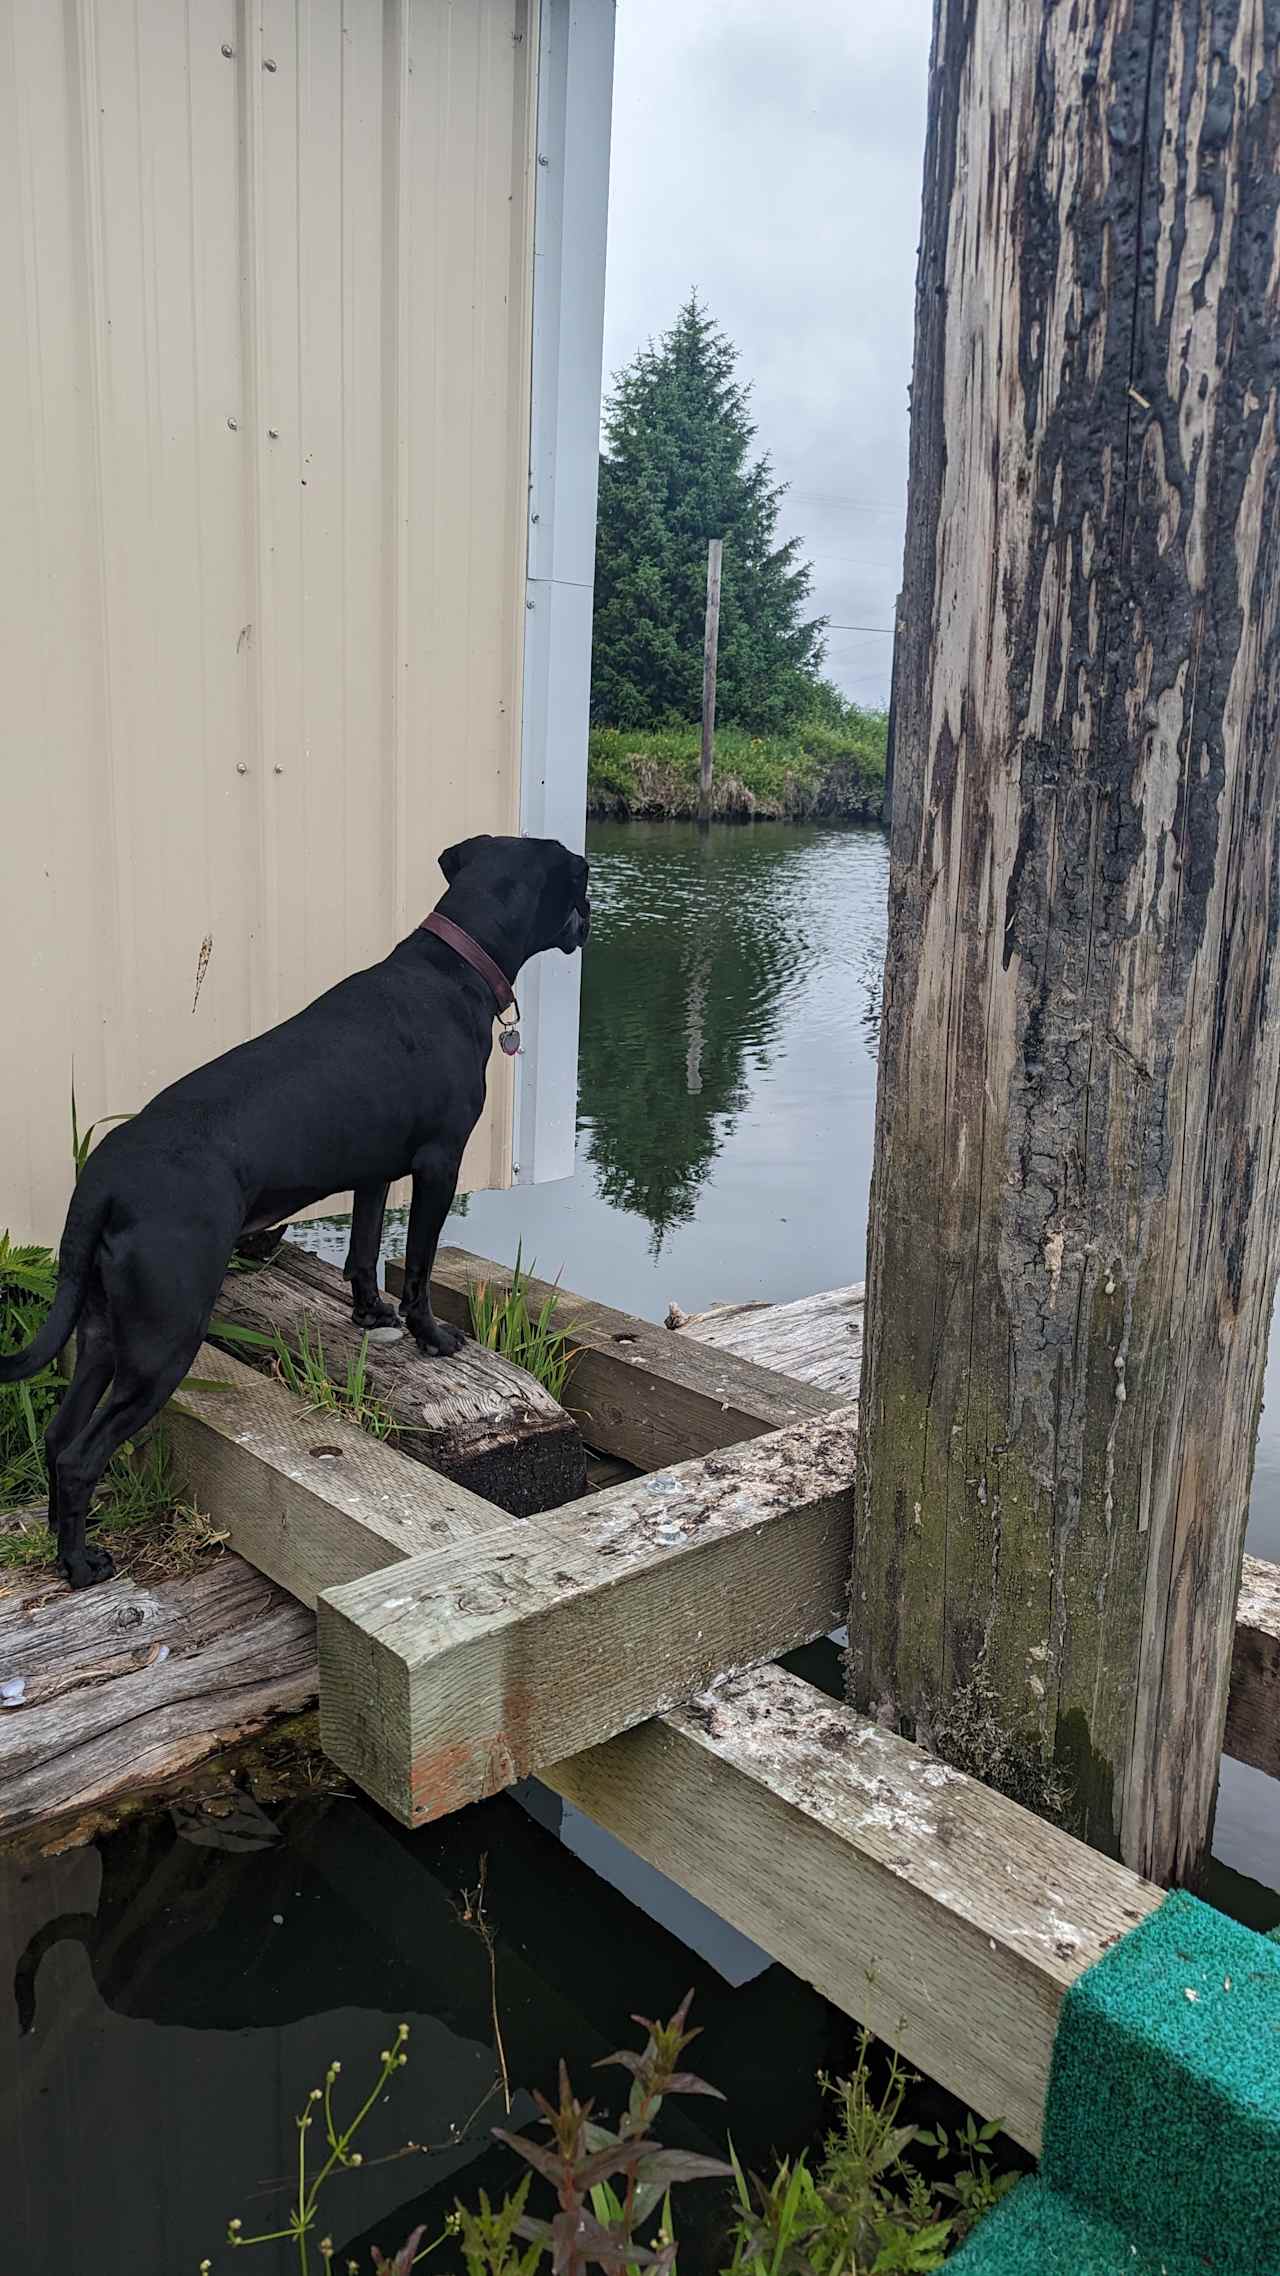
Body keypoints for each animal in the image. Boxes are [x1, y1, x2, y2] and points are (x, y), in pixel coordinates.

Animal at [0, 828, 587, 1593]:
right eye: (582, 880)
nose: (590, 918)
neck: (452, 970)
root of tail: (102, 1179)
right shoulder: (438, 1164)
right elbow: (419, 1267)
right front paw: (431, 1336)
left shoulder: (375, 1172)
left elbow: (364, 1253)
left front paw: (370, 1315)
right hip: (162, 1342)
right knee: (79, 1456)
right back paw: (80, 1566)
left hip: (103, 1330)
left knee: (57, 1436)